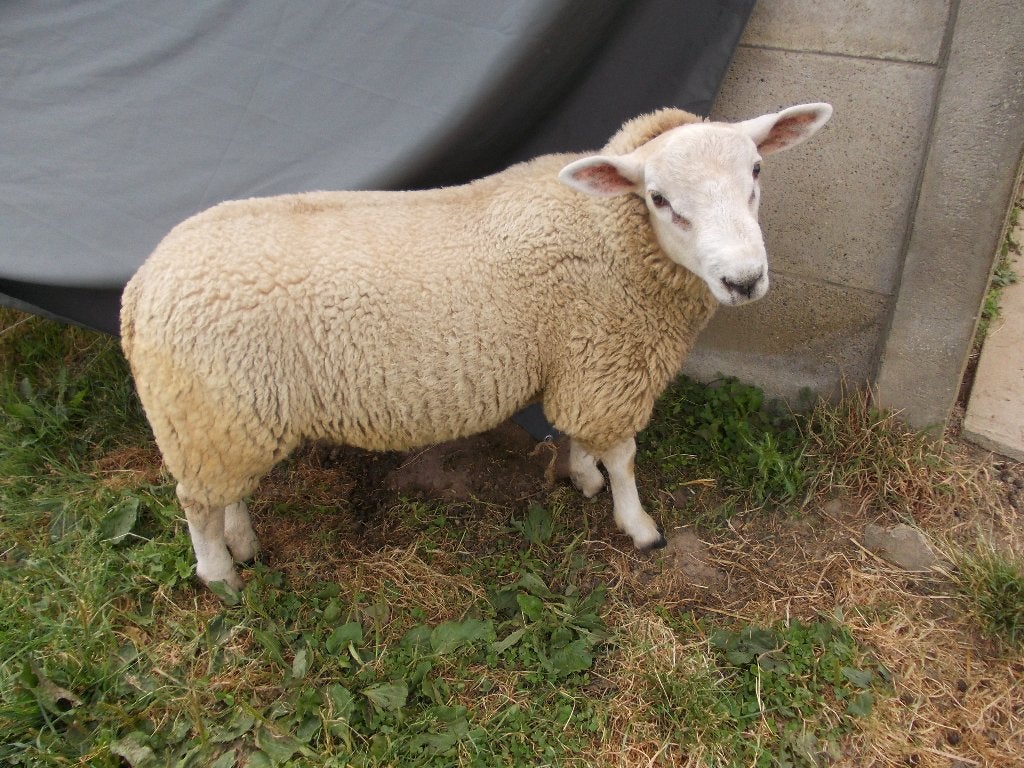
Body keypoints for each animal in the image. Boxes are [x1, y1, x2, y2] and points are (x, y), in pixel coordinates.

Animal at [121, 103, 833, 590]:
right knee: (196, 504)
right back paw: (221, 577)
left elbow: (578, 433)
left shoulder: (580, 358)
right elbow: (624, 454)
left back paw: (243, 545)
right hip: (210, 411)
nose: (745, 280)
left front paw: (581, 477)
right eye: (660, 199)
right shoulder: (607, 360)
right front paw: (639, 527)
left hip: (225, 415)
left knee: (224, 492)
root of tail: (140, 286)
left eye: (756, 171)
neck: (605, 231)